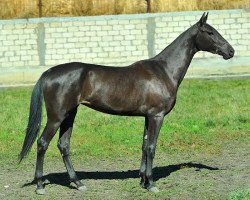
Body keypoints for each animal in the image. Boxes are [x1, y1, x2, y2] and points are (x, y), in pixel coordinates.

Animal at [19, 12, 234, 194]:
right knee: (42, 143)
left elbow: (144, 146)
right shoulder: (157, 116)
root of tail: (48, 73)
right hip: (56, 117)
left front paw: (143, 181)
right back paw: (40, 185)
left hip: (69, 115)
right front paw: (151, 184)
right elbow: (152, 147)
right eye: (210, 32)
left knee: (63, 145)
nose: (230, 51)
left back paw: (78, 183)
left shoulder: (148, 117)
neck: (164, 70)